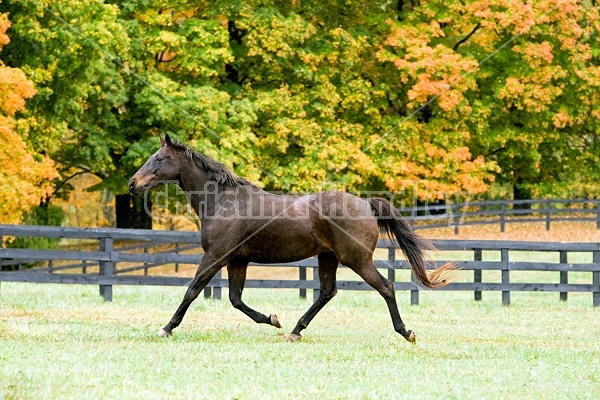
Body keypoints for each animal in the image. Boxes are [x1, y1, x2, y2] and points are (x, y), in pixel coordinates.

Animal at [127, 135, 454, 344]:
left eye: (159, 158)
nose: (132, 183)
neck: (223, 201)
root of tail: (365, 203)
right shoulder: (237, 260)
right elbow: (235, 299)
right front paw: (273, 319)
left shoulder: (215, 256)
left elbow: (192, 291)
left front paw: (166, 328)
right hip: (328, 258)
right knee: (327, 292)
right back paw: (295, 330)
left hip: (357, 260)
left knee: (385, 287)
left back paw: (406, 332)